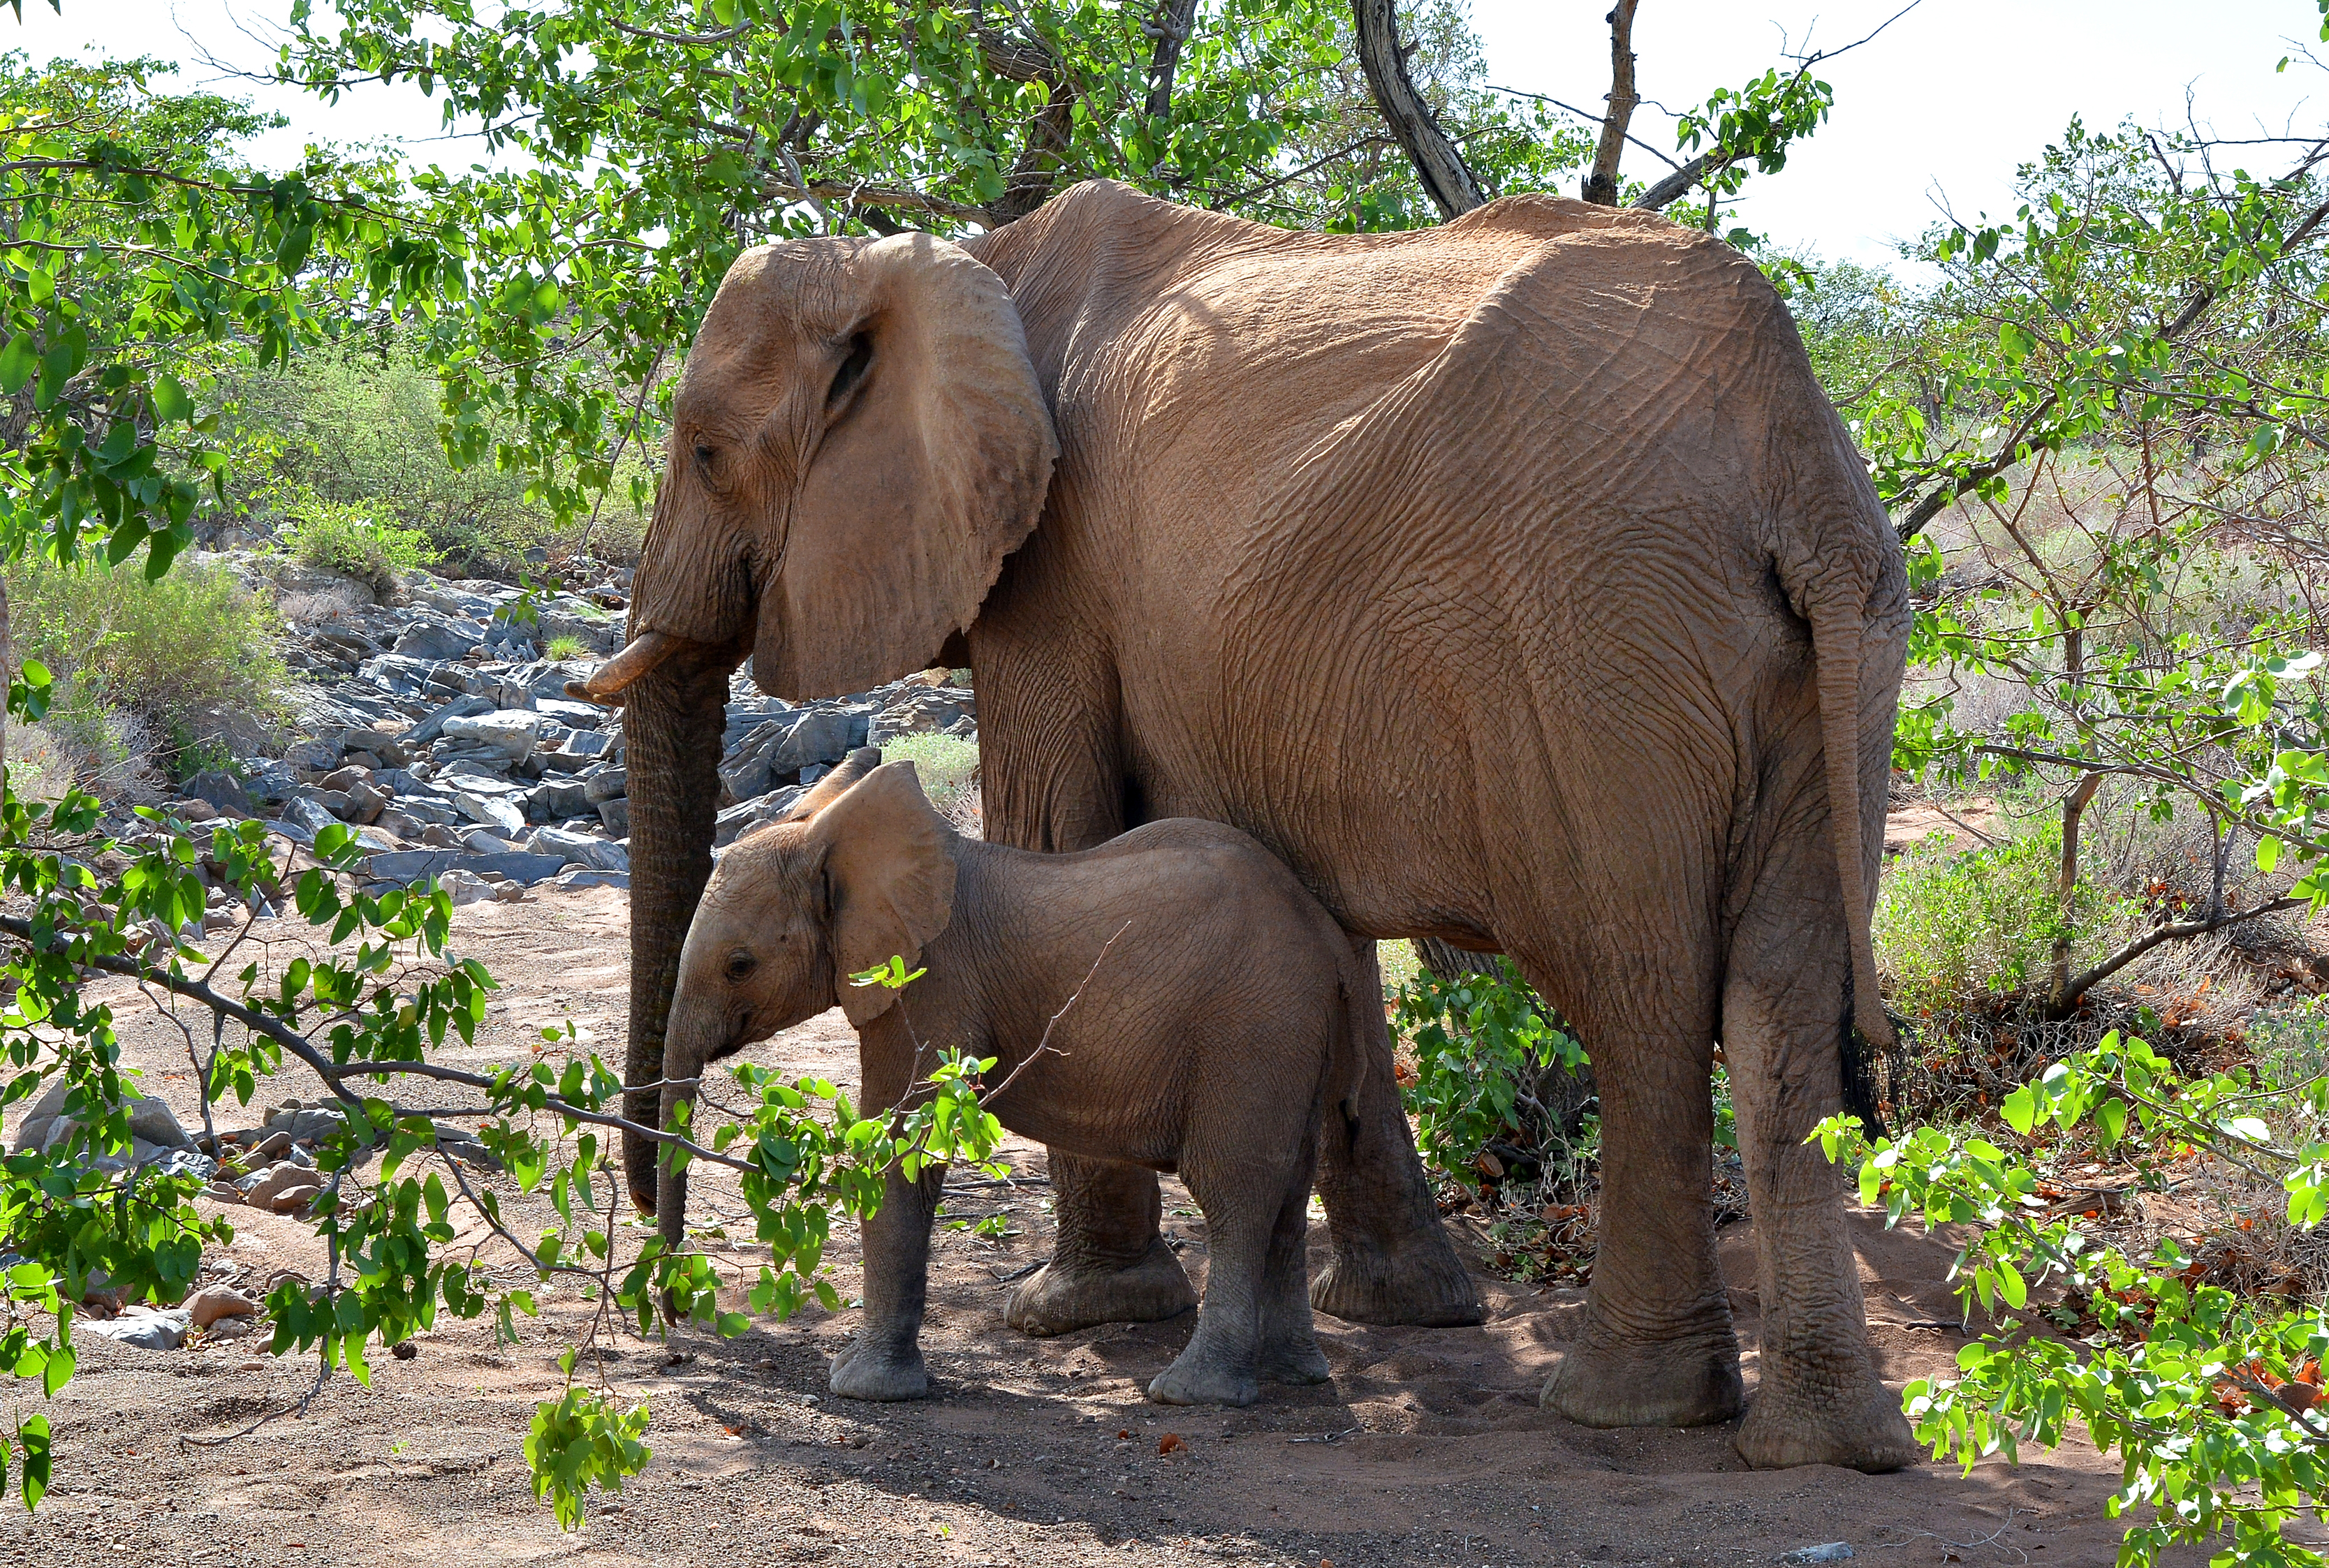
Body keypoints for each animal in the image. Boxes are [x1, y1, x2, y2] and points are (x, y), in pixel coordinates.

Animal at [661, 750, 1360, 1407]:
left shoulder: (926, 985)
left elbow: (901, 1149)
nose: (676, 1329)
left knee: (1233, 1190)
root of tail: (1328, 940)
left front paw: (861, 1389)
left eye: (739, 966)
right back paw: (1295, 1374)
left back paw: (1193, 1392)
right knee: (1287, 1193)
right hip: (1291, 1036)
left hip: (1250, 1030)